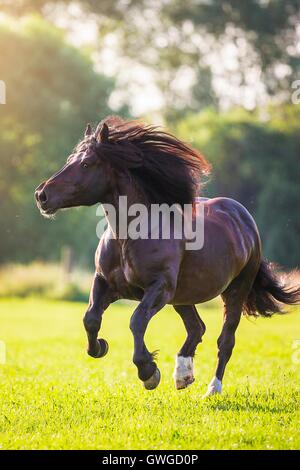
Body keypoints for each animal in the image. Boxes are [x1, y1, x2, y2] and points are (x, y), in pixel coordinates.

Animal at [35, 115, 300, 394]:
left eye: (86, 163)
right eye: (70, 159)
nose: (42, 195)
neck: (129, 236)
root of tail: (243, 217)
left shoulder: (159, 287)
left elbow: (136, 320)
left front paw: (148, 371)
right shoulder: (105, 282)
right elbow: (91, 318)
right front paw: (100, 347)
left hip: (235, 290)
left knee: (225, 340)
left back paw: (212, 389)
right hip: (183, 296)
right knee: (196, 328)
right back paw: (183, 375)